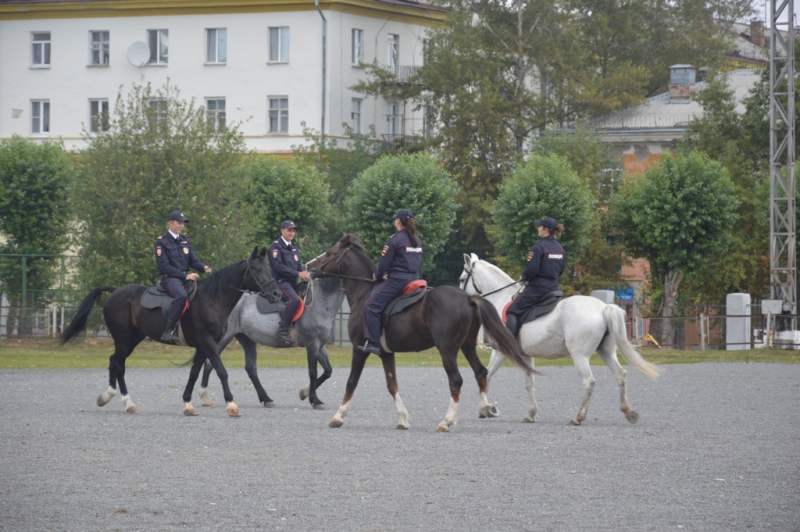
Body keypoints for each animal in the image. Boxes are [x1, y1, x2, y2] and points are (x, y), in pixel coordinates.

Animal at [60, 247, 282, 417]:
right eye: (257, 269)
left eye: (269, 268)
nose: (276, 293)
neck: (213, 299)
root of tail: (115, 292)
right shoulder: (208, 343)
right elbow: (221, 371)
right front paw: (232, 405)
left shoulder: (202, 346)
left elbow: (194, 373)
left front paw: (188, 405)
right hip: (122, 338)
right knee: (120, 365)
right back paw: (128, 403)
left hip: (133, 338)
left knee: (113, 360)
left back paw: (107, 396)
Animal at [196, 275, 345, 410]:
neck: (320, 302)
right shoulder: (312, 344)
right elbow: (313, 372)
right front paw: (314, 400)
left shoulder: (320, 345)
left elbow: (328, 371)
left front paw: (304, 393)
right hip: (224, 338)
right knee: (209, 364)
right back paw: (205, 397)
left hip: (247, 340)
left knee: (251, 368)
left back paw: (266, 399)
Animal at [306, 234, 535, 432]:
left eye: (330, 253)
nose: (309, 266)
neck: (365, 293)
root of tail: (467, 298)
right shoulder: (386, 354)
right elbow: (392, 385)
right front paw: (402, 419)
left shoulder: (360, 350)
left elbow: (351, 382)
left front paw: (338, 416)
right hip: (467, 346)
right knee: (481, 372)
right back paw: (485, 408)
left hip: (447, 350)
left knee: (456, 380)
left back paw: (447, 421)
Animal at [459, 253, 662, 425]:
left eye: (462, 279)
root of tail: (603, 308)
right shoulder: (525, 356)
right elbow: (529, 383)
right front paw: (530, 414)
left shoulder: (500, 353)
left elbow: (487, 375)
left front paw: (485, 409)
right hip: (606, 352)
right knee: (620, 375)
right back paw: (628, 412)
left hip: (579, 355)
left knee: (589, 381)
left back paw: (578, 417)